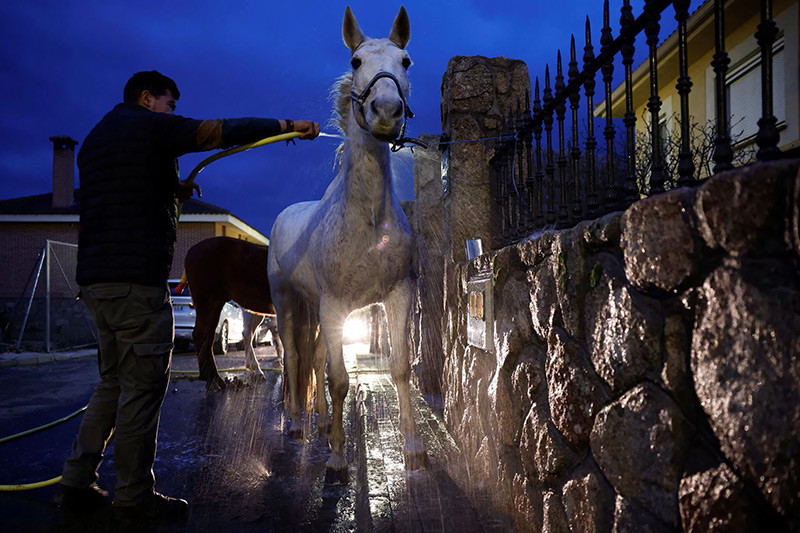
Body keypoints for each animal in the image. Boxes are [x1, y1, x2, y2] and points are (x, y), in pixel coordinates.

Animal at [268, 5, 432, 482]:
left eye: (406, 60)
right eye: (356, 61)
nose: (386, 110)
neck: (366, 222)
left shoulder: (398, 294)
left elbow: (399, 368)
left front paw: (413, 450)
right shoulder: (334, 304)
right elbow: (338, 379)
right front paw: (338, 461)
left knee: (315, 359)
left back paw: (323, 423)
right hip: (287, 301)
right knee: (293, 357)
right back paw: (296, 424)